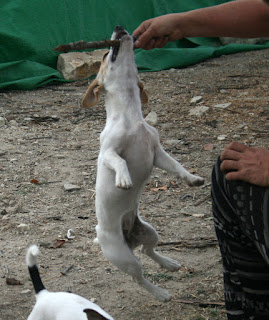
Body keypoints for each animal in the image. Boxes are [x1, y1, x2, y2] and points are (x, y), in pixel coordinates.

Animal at [81, 25, 203, 302]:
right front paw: (124, 179)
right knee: (139, 277)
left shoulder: (157, 152)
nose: (119, 27)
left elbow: (176, 165)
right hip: (125, 258)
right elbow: (119, 161)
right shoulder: (108, 153)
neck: (131, 117)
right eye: (105, 54)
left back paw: (169, 263)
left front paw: (192, 179)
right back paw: (160, 293)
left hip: (150, 232)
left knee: (149, 252)